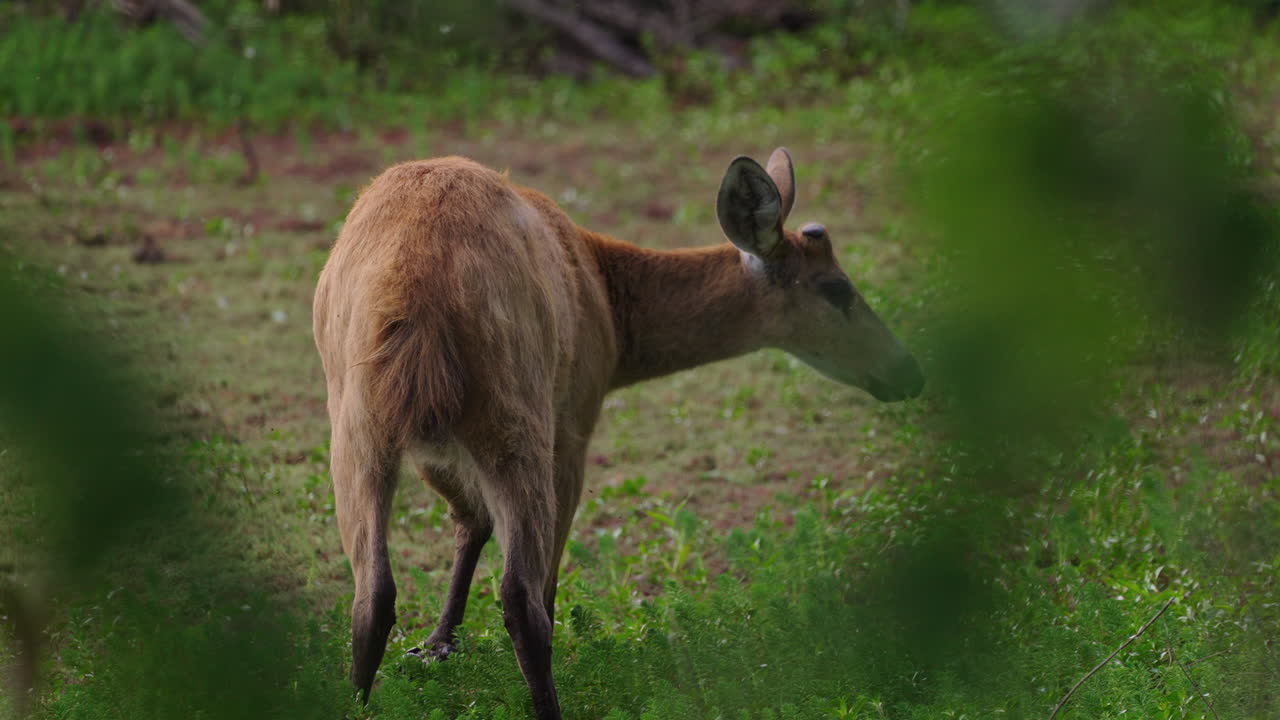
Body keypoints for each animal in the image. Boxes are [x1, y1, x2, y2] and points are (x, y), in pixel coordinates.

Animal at [312, 148, 924, 720]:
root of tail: (413, 292)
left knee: (372, 594)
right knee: (521, 598)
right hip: (518, 414)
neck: (611, 309)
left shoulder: (435, 447)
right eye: (837, 288)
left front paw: (439, 644)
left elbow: (470, 522)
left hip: (358, 425)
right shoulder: (576, 420)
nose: (908, 371)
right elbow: (537, 578)